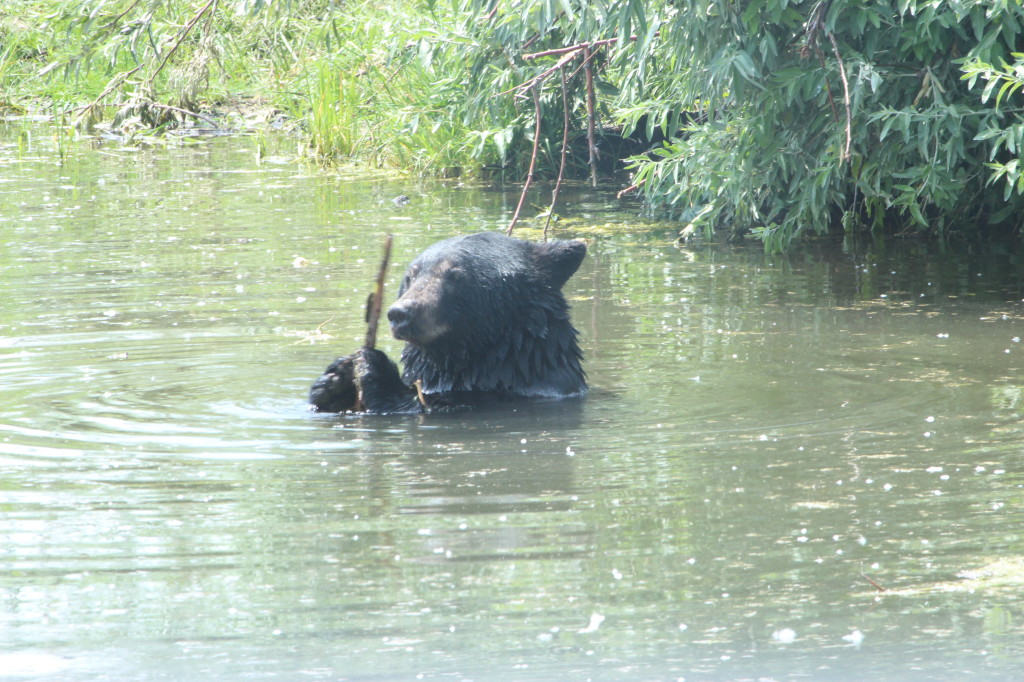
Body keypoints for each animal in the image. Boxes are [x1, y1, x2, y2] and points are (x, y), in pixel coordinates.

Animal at [309, 231, 587, 414]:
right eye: (411, 276)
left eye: (455, 275)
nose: (399, 313)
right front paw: (335, 380)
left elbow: (423, 406)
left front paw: (374, 368)